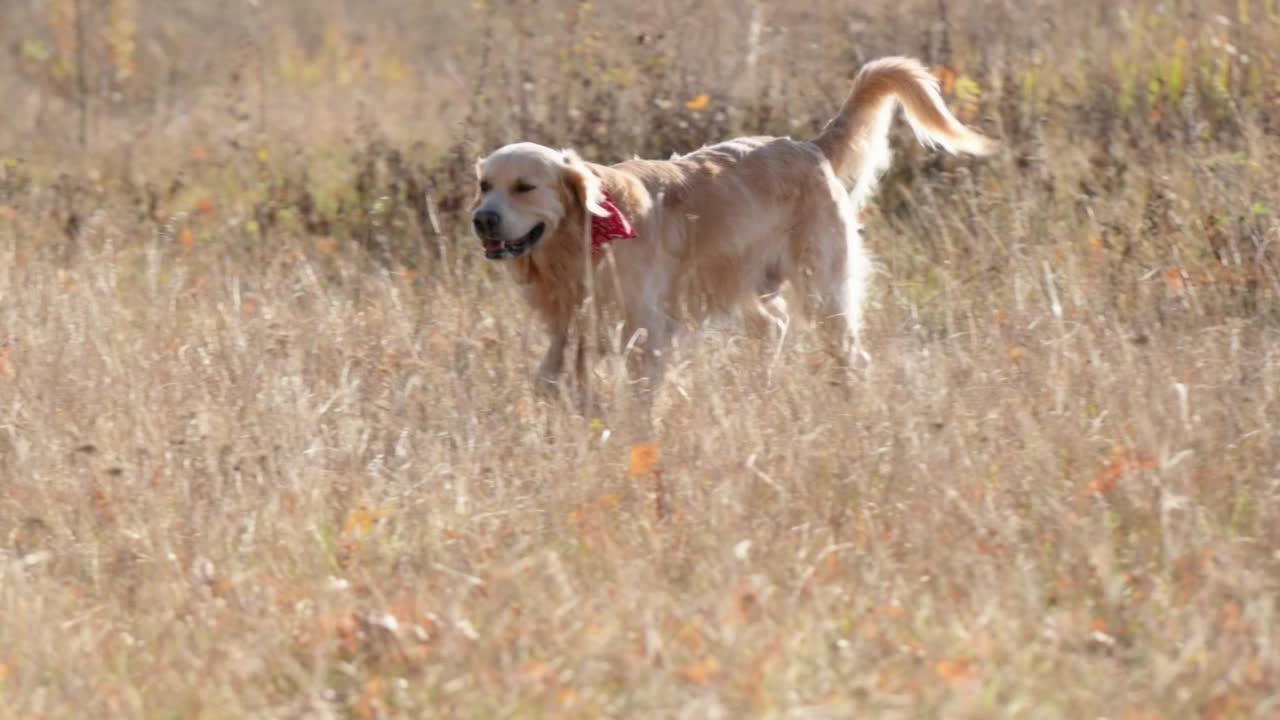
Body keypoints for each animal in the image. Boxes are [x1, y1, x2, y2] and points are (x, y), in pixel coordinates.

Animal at [471, 57, 988, 404]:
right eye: (485, 186)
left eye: (524, 187)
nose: (482, 221)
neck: (583, 242)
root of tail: (809, 145)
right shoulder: (569, 326)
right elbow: (548, 380)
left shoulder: (646, 331)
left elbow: (639, 399)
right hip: (745, 285)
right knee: (775, 325)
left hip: (823, 290)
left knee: (849, 353)